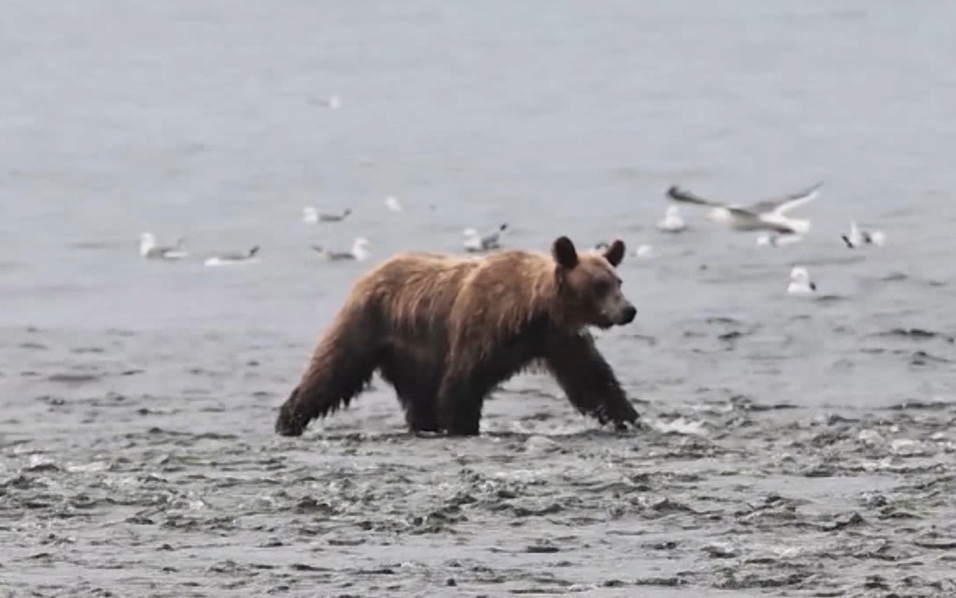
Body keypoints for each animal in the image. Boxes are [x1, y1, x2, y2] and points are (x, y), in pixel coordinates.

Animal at [275, 235, 640, 437]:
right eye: (600, 285)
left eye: (618, 281)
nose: (629, 310)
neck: (534, 310)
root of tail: (371, 271)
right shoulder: (480, 329)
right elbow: (461, 384)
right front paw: (464, 426)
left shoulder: (559, 340)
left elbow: (593, 383)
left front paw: (631, 419)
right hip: (369, 323)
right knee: (333, 370)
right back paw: (289, 420)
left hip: (411, 355)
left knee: (418, 398)